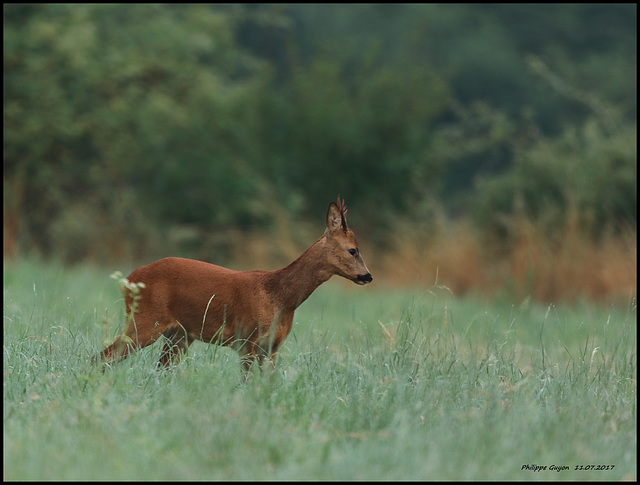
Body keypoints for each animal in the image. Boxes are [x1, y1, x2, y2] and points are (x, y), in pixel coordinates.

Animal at [97, 197, 372, 370]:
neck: (280, 296)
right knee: (103, 357)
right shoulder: (247, 340)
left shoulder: (271, 348)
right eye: (353, 250)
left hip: (179, 334)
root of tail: (129, 279)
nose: (368, 276)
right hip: (146, 321)